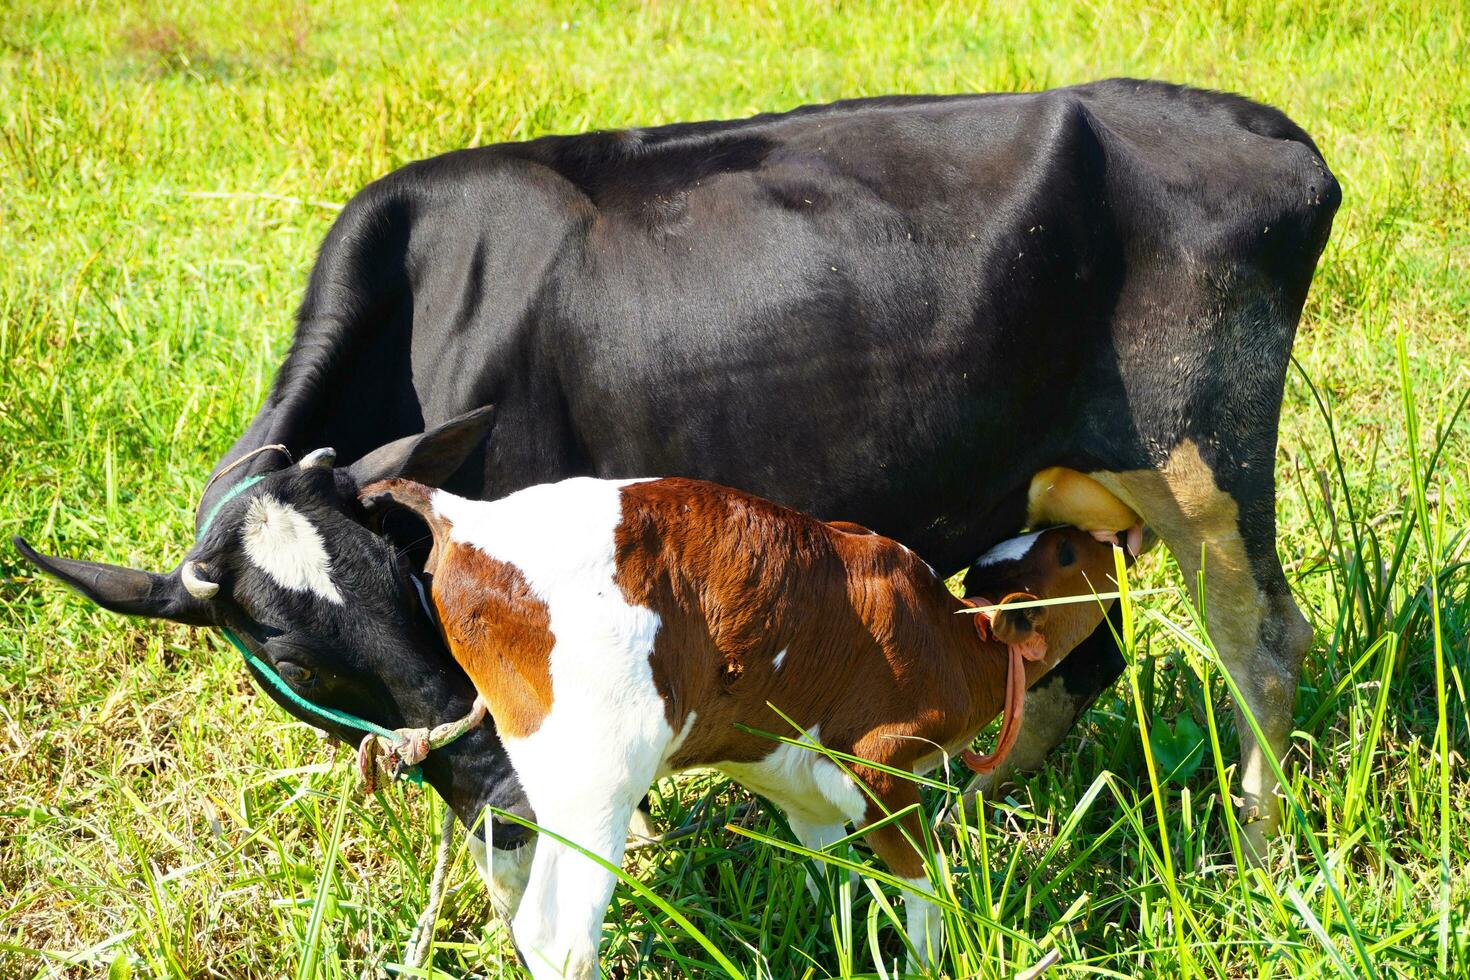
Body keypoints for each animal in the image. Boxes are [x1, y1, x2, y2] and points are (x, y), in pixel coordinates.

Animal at [15, 77, 1339, 896]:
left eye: (412, 587)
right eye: (291, 654)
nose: (501, 797)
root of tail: (1272, 134)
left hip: (1202, 457)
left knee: (1265, 641)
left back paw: (1260, 854)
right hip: (1067, 497)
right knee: (1076, 655)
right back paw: (950, 818)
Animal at [359, 475, 1130, 977]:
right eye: (1068, 556)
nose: (1109, 537)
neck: (957, 640)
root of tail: (467, 518)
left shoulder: (802, 783)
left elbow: (833, 873)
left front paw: (834, 944)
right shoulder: (880, 762)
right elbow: (925, 883)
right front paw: (924, 963)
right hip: (596, 779)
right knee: (558, 935)